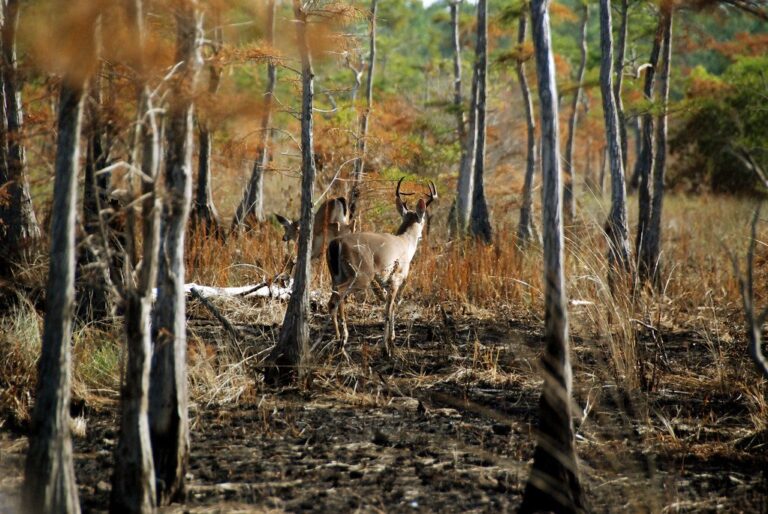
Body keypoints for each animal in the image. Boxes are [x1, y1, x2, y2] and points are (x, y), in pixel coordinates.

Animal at [326, 178, 437, 356]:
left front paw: (391, 340)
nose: (422, 235)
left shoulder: (383, 281)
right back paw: (342, 340)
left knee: (334, 299)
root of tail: (336, 243)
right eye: (424, 218)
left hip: (335, 275)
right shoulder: (396, 278)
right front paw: (388, 346)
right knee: (338, 296)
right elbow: (389, 309)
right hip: (361, 274)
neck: (405, 242)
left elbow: (389, 306)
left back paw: (339, 340)